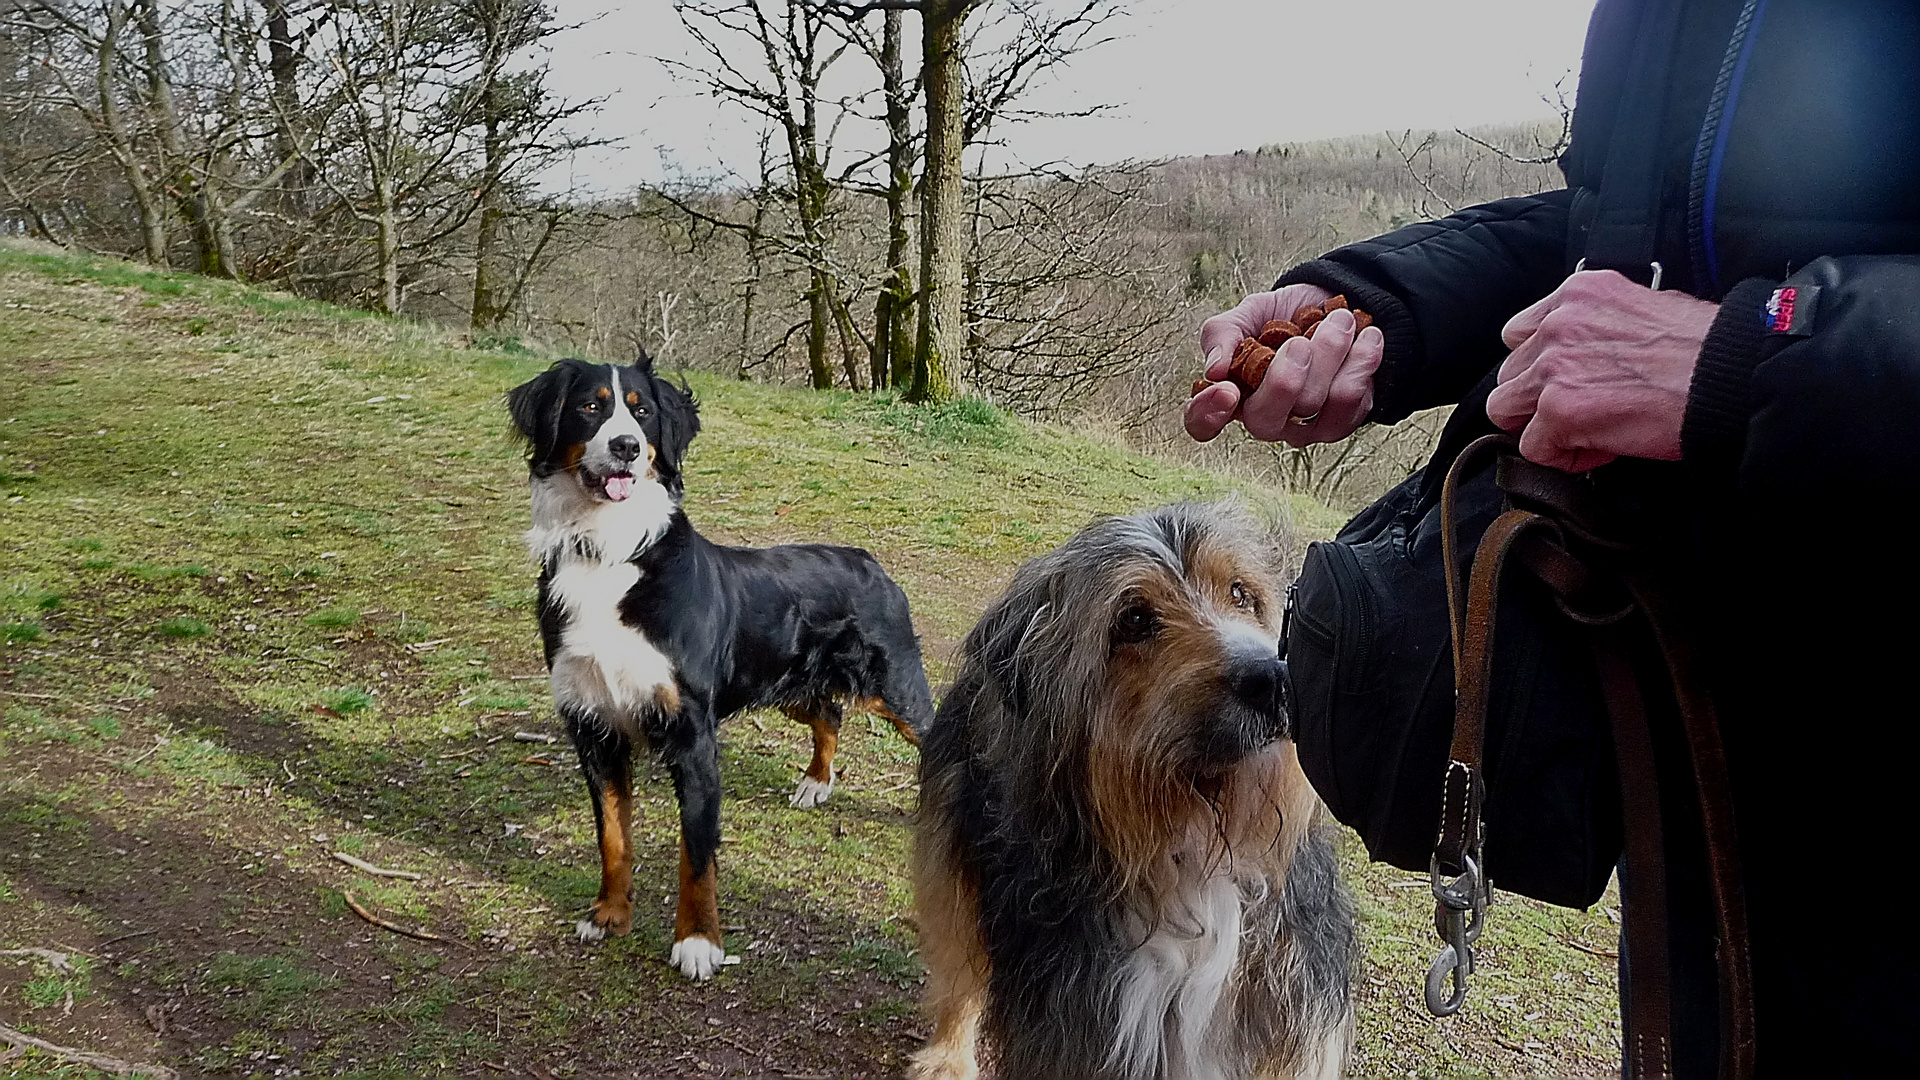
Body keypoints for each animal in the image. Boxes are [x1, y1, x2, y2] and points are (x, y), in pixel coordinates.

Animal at [506, 353, 933, 976]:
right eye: (589, 407)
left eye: (642, 412)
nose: (626, 447)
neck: (610, 552)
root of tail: (868, 558)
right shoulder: (594, 726)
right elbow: (613, 835)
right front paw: (609, 914)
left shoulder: (693, 735)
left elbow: (697, 854)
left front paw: (698, 942)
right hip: (786, 687)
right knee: (829, 714)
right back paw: (815, 784)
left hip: (895, 687)